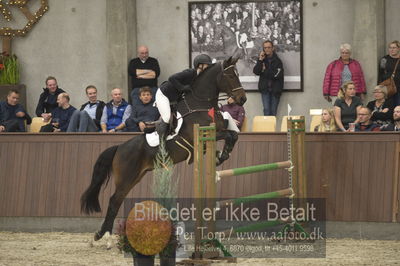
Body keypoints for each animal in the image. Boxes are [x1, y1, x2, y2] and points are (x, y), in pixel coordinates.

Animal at [79, 56, 245, 241]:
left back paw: (103, 233)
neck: (200, 104)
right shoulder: (205, 134)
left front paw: (221, 154)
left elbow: (233, 134)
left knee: (118, 200)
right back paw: (103, 233)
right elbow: (229, 135)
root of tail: (119, 147)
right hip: (126, 177)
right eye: (230, 76)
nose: (242, 99)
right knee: (114, 200)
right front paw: (221, 155)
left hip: (136, 177)